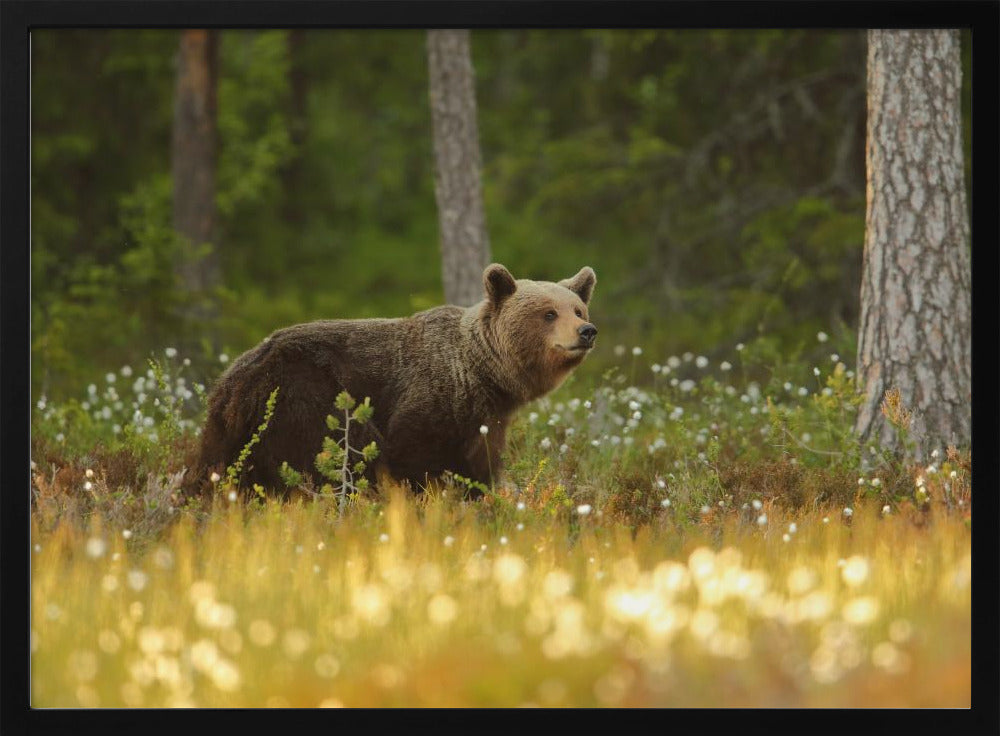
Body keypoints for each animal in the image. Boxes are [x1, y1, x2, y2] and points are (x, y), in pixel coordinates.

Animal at [188, 263, 597, 496]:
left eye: (577, 308)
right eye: (548, 313)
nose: (587, 331)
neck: (482, 374)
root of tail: (232, 379)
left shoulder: (483, 418)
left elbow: (480, 463)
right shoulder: (430, 398)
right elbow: (411, 455)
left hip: (233, 429)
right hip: (304, 395)